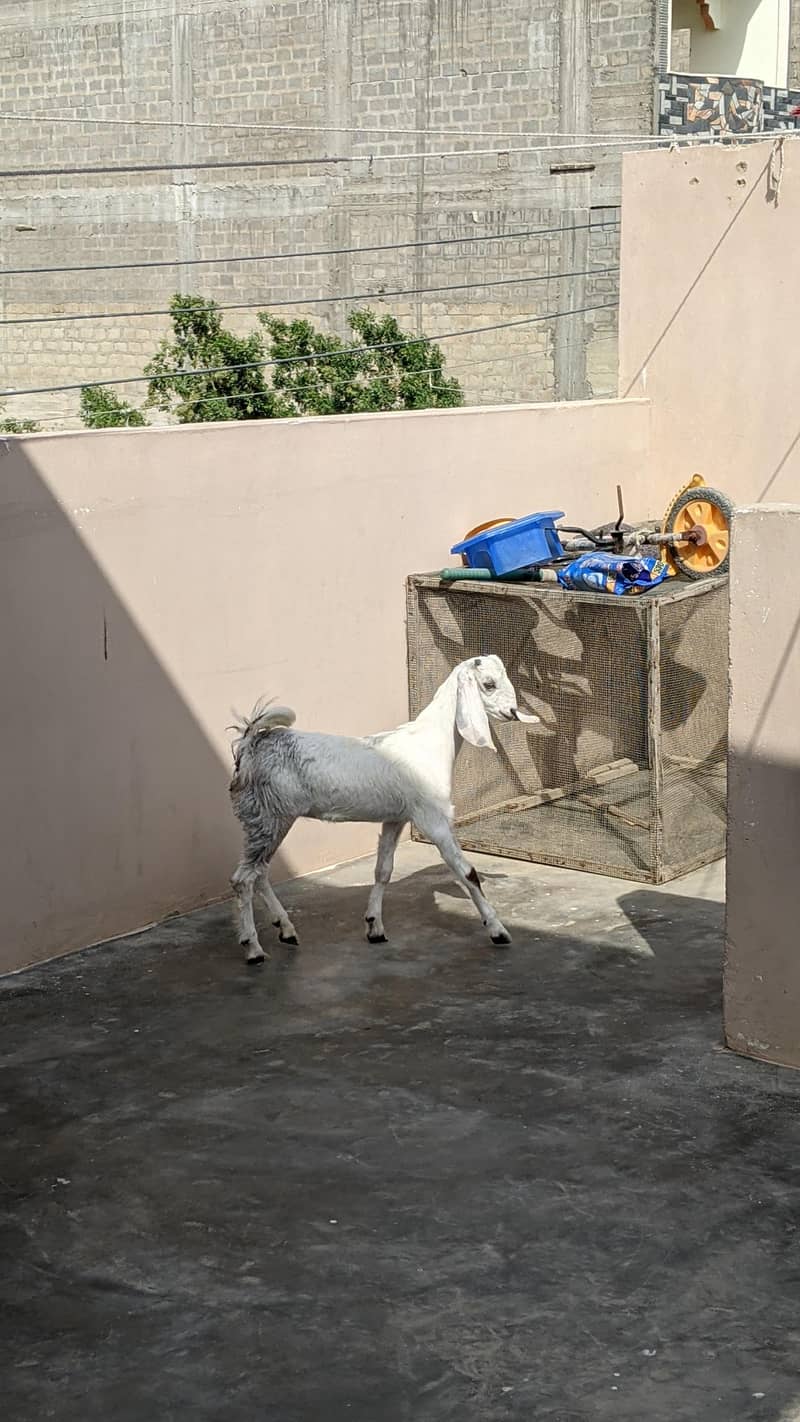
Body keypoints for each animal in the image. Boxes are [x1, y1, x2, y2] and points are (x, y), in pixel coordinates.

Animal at [229, 654, 539, 964]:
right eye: (488, 684)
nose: (512, 711)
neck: (430, 743)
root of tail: (251, 744)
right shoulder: (432, 818)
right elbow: (466, 871)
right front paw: (498, 931)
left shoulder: (396, 818)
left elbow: (383, 870)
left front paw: (374, 927)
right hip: (270, 815)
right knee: (243, 878)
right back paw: (253, 948)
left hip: (266, 818)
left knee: (260, 872)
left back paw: (286, 929)